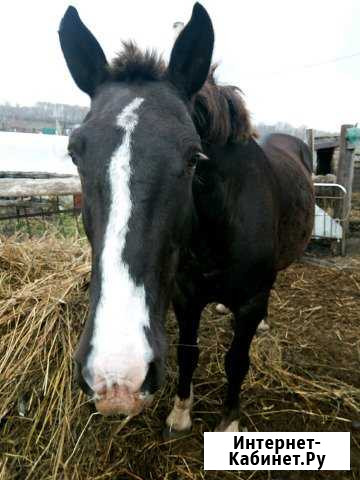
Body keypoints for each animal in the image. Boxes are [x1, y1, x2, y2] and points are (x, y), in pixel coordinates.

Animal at [58, 2, 312, 432]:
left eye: (194, 157)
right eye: (75, 152)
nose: (117, 380)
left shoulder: (250, 300)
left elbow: (236, 361)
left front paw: (228, 422)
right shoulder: (185, 296)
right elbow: (187, 352)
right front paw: (180, 412)